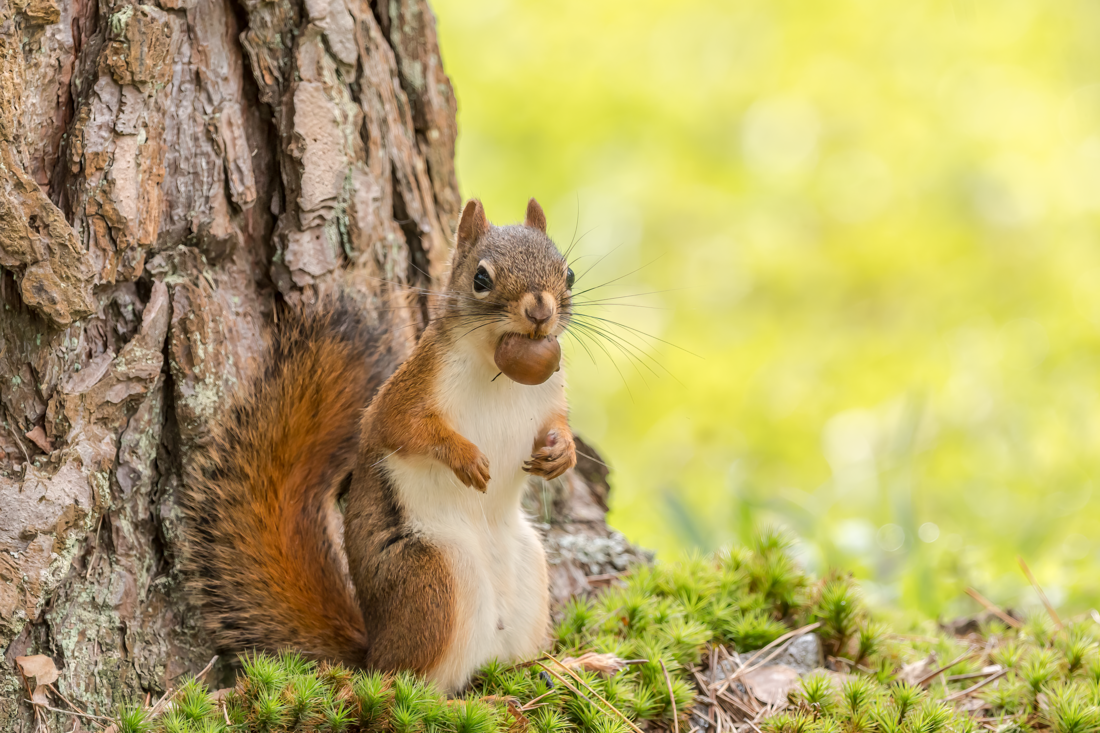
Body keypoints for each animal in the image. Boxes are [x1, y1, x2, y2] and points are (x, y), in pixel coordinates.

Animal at [182, 200, 576, 691]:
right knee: (407, 681)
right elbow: (405, 430)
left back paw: (567, 666)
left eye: (568, 274)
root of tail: (372, 649)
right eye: (481, 279)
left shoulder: (550, 398)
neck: (498, 369)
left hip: (529, 573)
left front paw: (562, 454)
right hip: (434, 577)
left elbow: (557, 425)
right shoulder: (407, 394)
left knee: (509, 663)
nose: (540, 311)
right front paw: (466, 458)